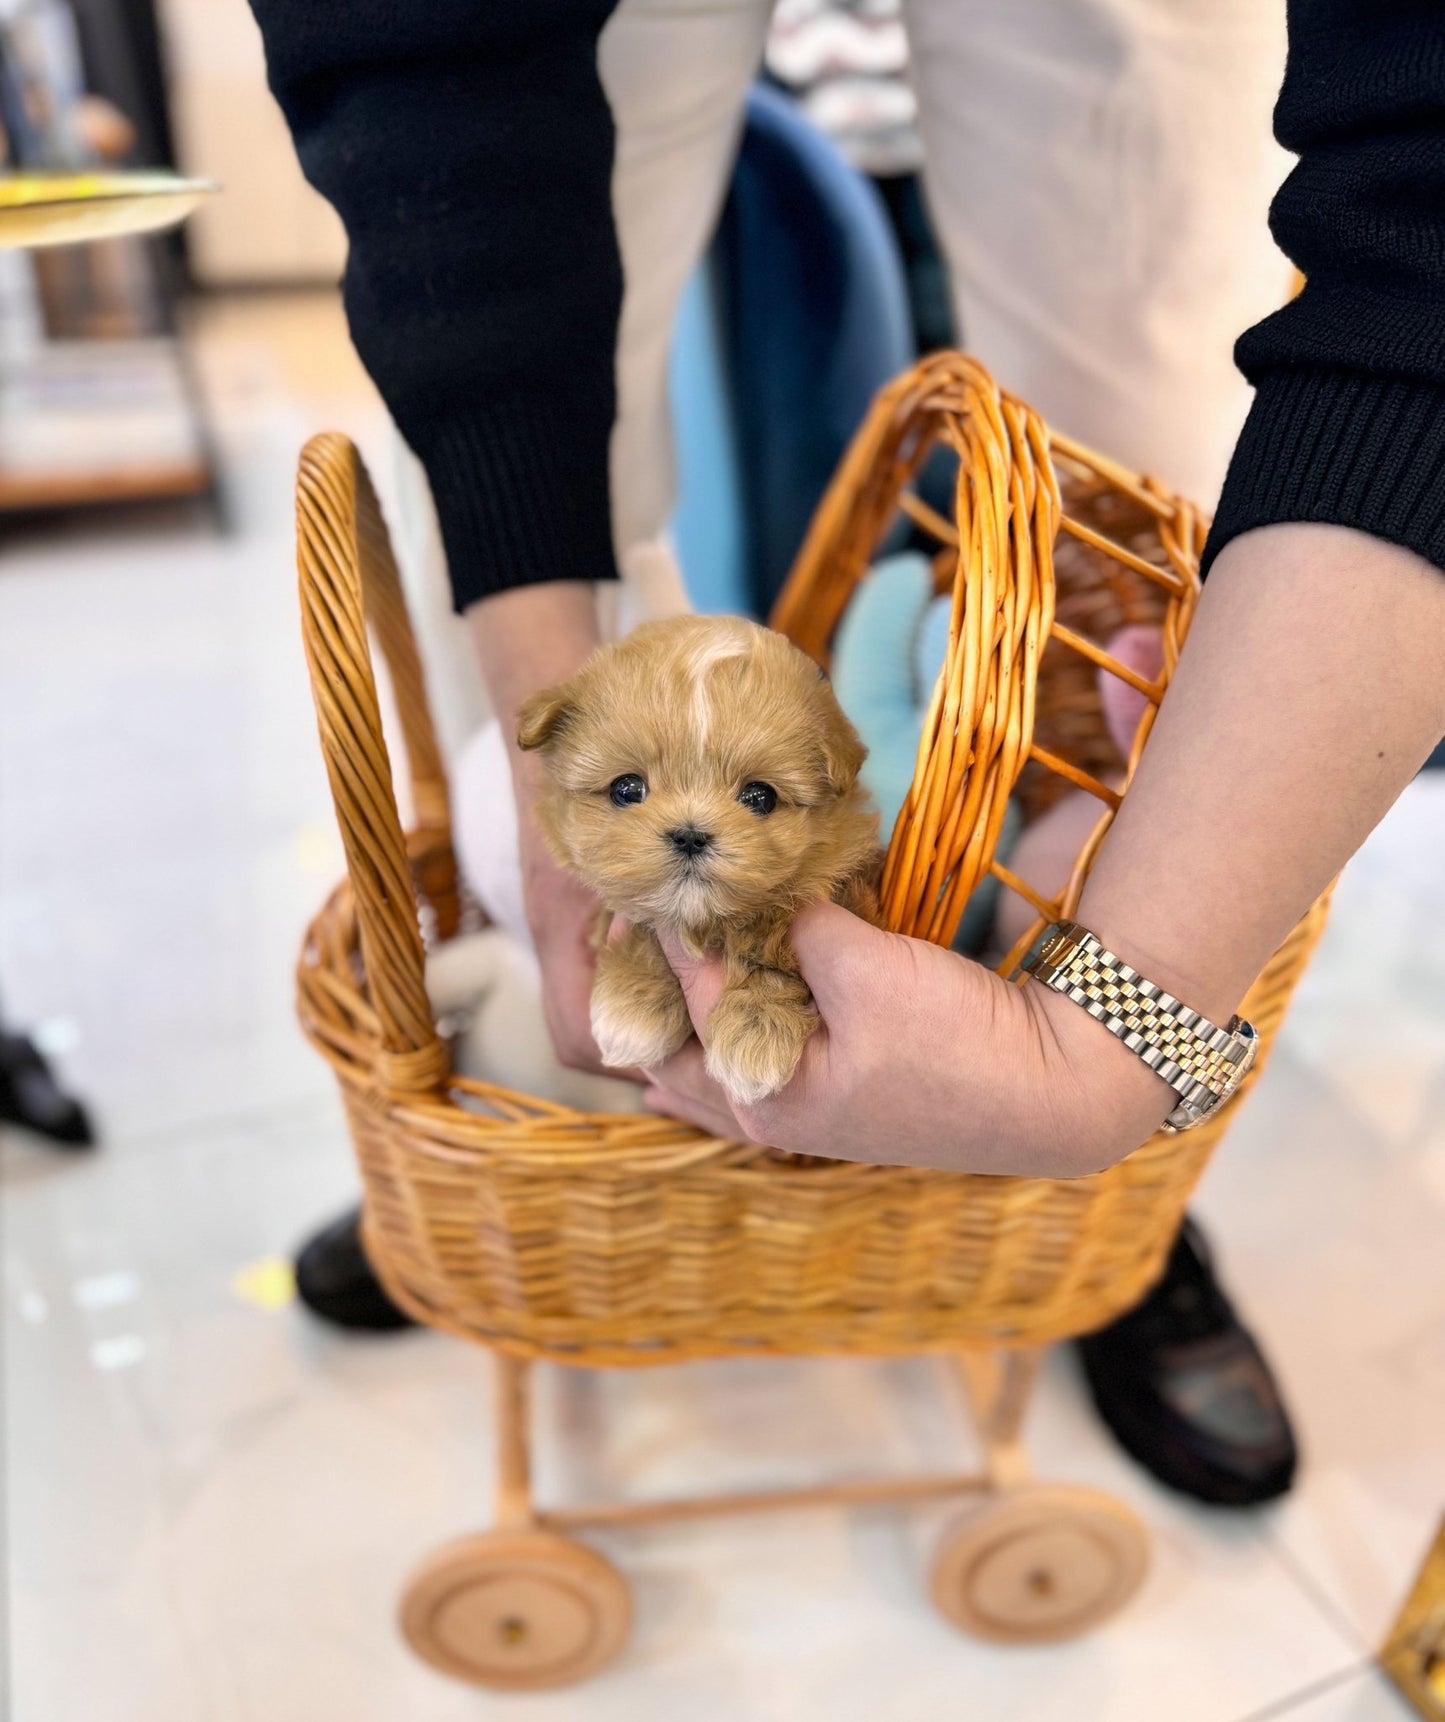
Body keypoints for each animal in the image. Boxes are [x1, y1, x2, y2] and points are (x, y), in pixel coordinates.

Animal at [520, 616, 881, 1102]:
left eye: (760, 797)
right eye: (626, 789)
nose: (690, 836)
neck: (706, 924)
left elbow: (774, 957)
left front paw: (755, 1032)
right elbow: (648, 926)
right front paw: (632, 1009)